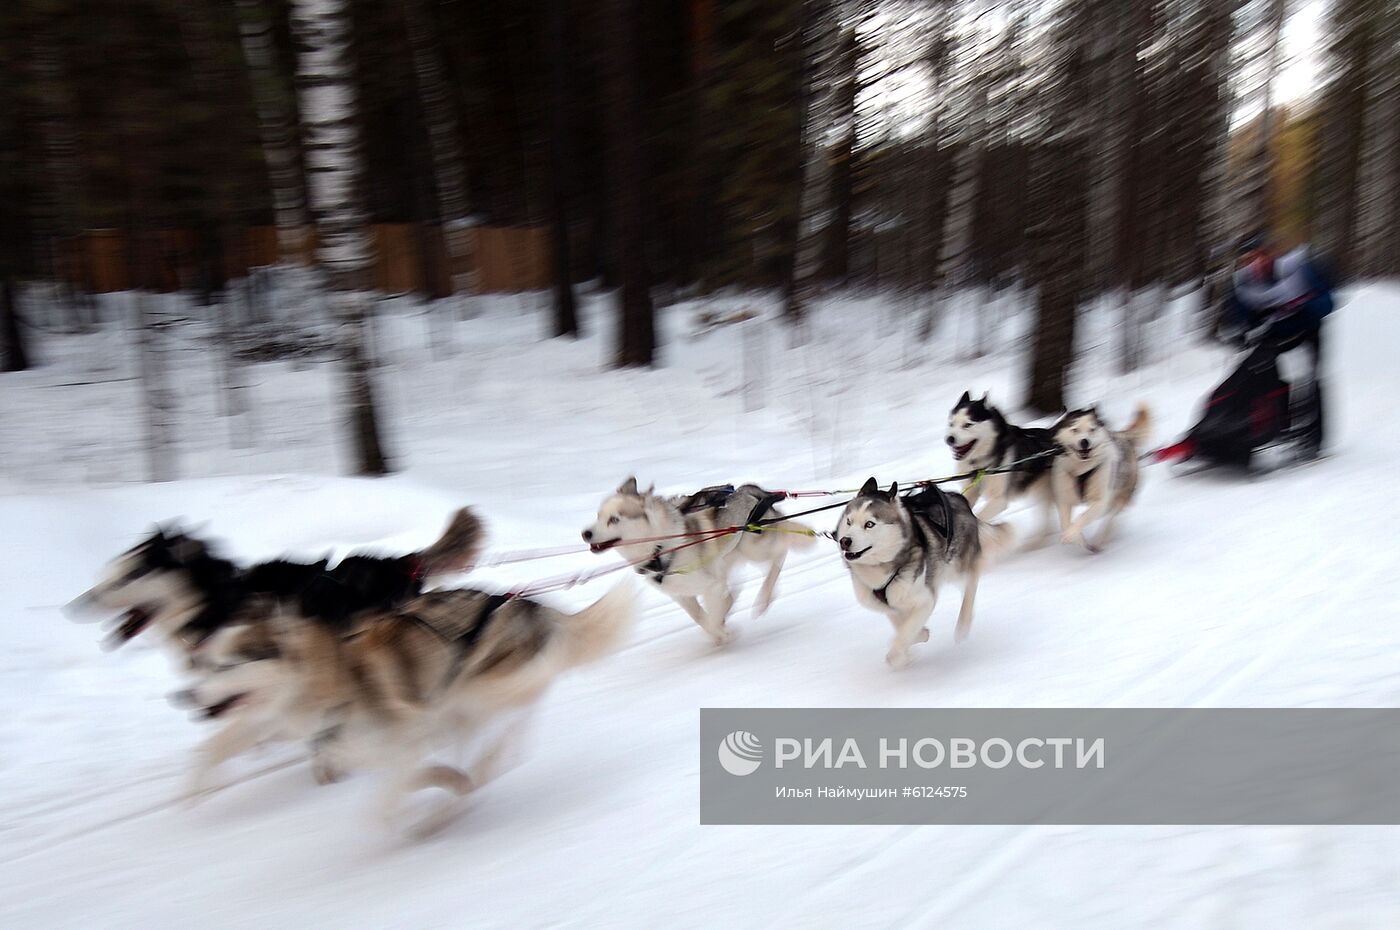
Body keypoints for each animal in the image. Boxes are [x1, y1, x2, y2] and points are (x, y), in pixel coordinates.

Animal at [176, 582, 635, 834]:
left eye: (226, 664)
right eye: (201, 661)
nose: (183, 697)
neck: (335, 683)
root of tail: (526, 604)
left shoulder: (408, 738)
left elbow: (388, 799)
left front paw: (416, 814)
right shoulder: (384, 749)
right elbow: (413, 779)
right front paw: (447, 786)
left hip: (478, 689)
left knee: (506, 734)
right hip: (461, 709)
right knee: (497, 745)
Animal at [582, 476, 817, 644]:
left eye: (614, 519)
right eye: (598, 516)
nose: (585, 533)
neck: (661, 547)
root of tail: (751, 490)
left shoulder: (710, 585)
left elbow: (712, 616)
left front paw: (723, 632)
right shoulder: (682, 595)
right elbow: (700, 617)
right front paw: (719, 630)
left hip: (755, 548)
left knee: (780, 553)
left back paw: (764, 597)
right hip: (729, 558)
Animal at [834, 479, 1013, 669]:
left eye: (869, 524)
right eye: (849, 521)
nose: (844, 541)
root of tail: (957, 498)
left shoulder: (924, 600)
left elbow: (904, 634)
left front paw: (899, 654)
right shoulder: (889, 605)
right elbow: (902, 625)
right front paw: (920, 636)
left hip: (956, 566)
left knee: (972, 580)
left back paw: (963, 625)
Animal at [940, 389, 1058, 535]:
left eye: (967, 424)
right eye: (951, 423)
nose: (949, 439)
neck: (978, 465)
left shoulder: (998, 499)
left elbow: (979, 518)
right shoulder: (971, 490)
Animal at [1052, 403, 1148, 549]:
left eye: (1092, 430)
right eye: (1075, 430)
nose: (1084, 441)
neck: (1082, 469)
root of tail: (1122, 435)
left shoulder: (1100, 501)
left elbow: (1083, 517)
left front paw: (1071, 534)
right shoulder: (1064, 499)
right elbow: (1065, 522)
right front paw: (1077, 538)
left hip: (1120, 493)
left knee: (1111, 518)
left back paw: (1099, 540)